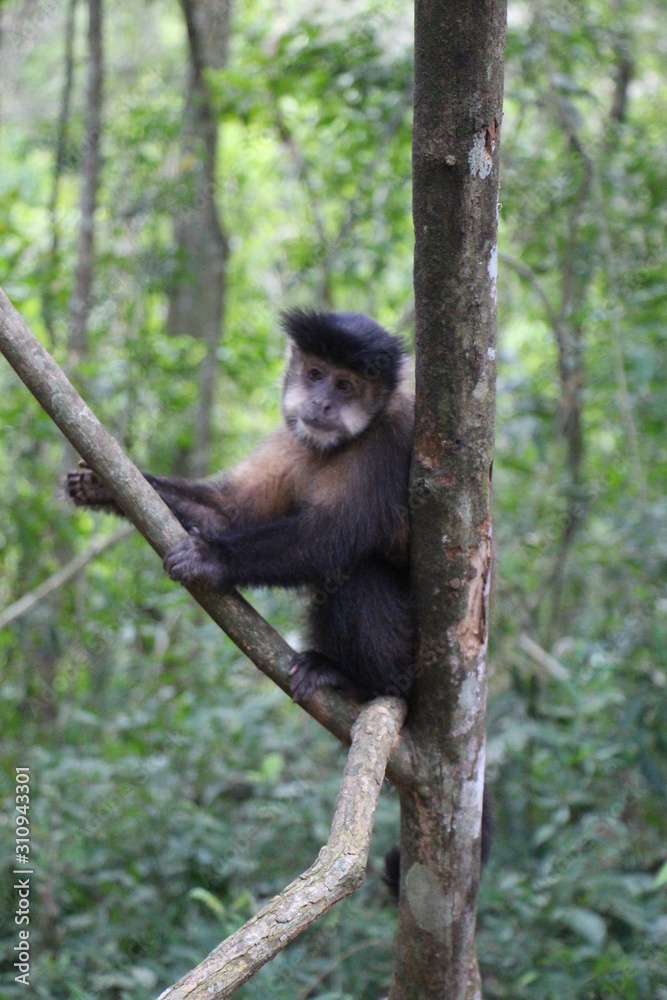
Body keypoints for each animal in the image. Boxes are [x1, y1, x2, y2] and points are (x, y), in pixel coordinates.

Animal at [67, 308, 415, 703]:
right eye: (315, 373)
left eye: (344, 385)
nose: (321, 403)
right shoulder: (292, 438)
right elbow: (230, 513)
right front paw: (103, 488)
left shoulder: (390, 439)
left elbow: (332, 536)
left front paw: (211, 560)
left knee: (355, 568)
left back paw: (359, 681)